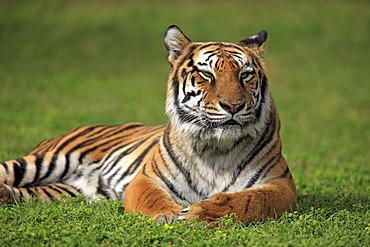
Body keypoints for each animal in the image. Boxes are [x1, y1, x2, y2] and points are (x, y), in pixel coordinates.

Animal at [0, 25, 296, 224]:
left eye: (245, 75)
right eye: (206, 74)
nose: (233, 106)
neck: (216, 147)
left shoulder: (280, 185)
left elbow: (247, 200)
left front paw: (202, 212)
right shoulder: (147, 178)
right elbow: (151, 198)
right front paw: (168, 214)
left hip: (63, 191)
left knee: (24, 193)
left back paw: (5, 196)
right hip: (47, 160)